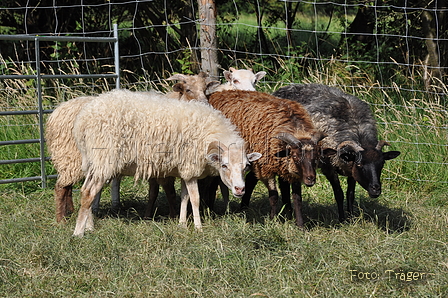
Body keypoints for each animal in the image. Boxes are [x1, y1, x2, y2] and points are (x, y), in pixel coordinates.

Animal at [72, 89, 260, 236]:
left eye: (246, 167)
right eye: (224, 165)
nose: (240, 189)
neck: (209, 132)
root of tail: (83, 118)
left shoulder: (185, 170)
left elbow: (184, 197)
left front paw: (182, 224)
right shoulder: (191, 168)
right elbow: (195, 198)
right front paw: (198, 227)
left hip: (93, 161)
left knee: (88, 191)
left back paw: (89, 227)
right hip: (104, 158)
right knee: (88, 193)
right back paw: (79, 232)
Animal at [272, 83, 400, 221]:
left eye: (382, 164)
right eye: (360, 165)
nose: (376, 190)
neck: (357, 129)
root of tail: (283, 87)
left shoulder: (350, 169)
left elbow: (350, 194)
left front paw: (351, 216)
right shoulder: (329, 166)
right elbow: (339, 193)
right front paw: (342, 219)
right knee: (283, 183)